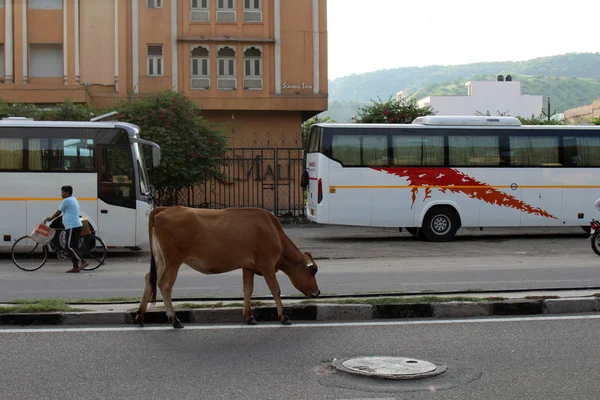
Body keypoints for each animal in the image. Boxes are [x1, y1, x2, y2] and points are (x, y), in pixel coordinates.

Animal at [134, 206, 322, 328]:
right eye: (313, 271)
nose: (318, 292)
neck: (273, 231)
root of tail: (165, 209)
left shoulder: (248, 267)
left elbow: (248, 290)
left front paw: (249, 317)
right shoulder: (266, 264)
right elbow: (275, 289)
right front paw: (283, 316)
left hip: (160, 259)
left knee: (149, 278)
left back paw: (140, 316)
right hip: (173, 261)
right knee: (164, 284)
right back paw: (174, 320)